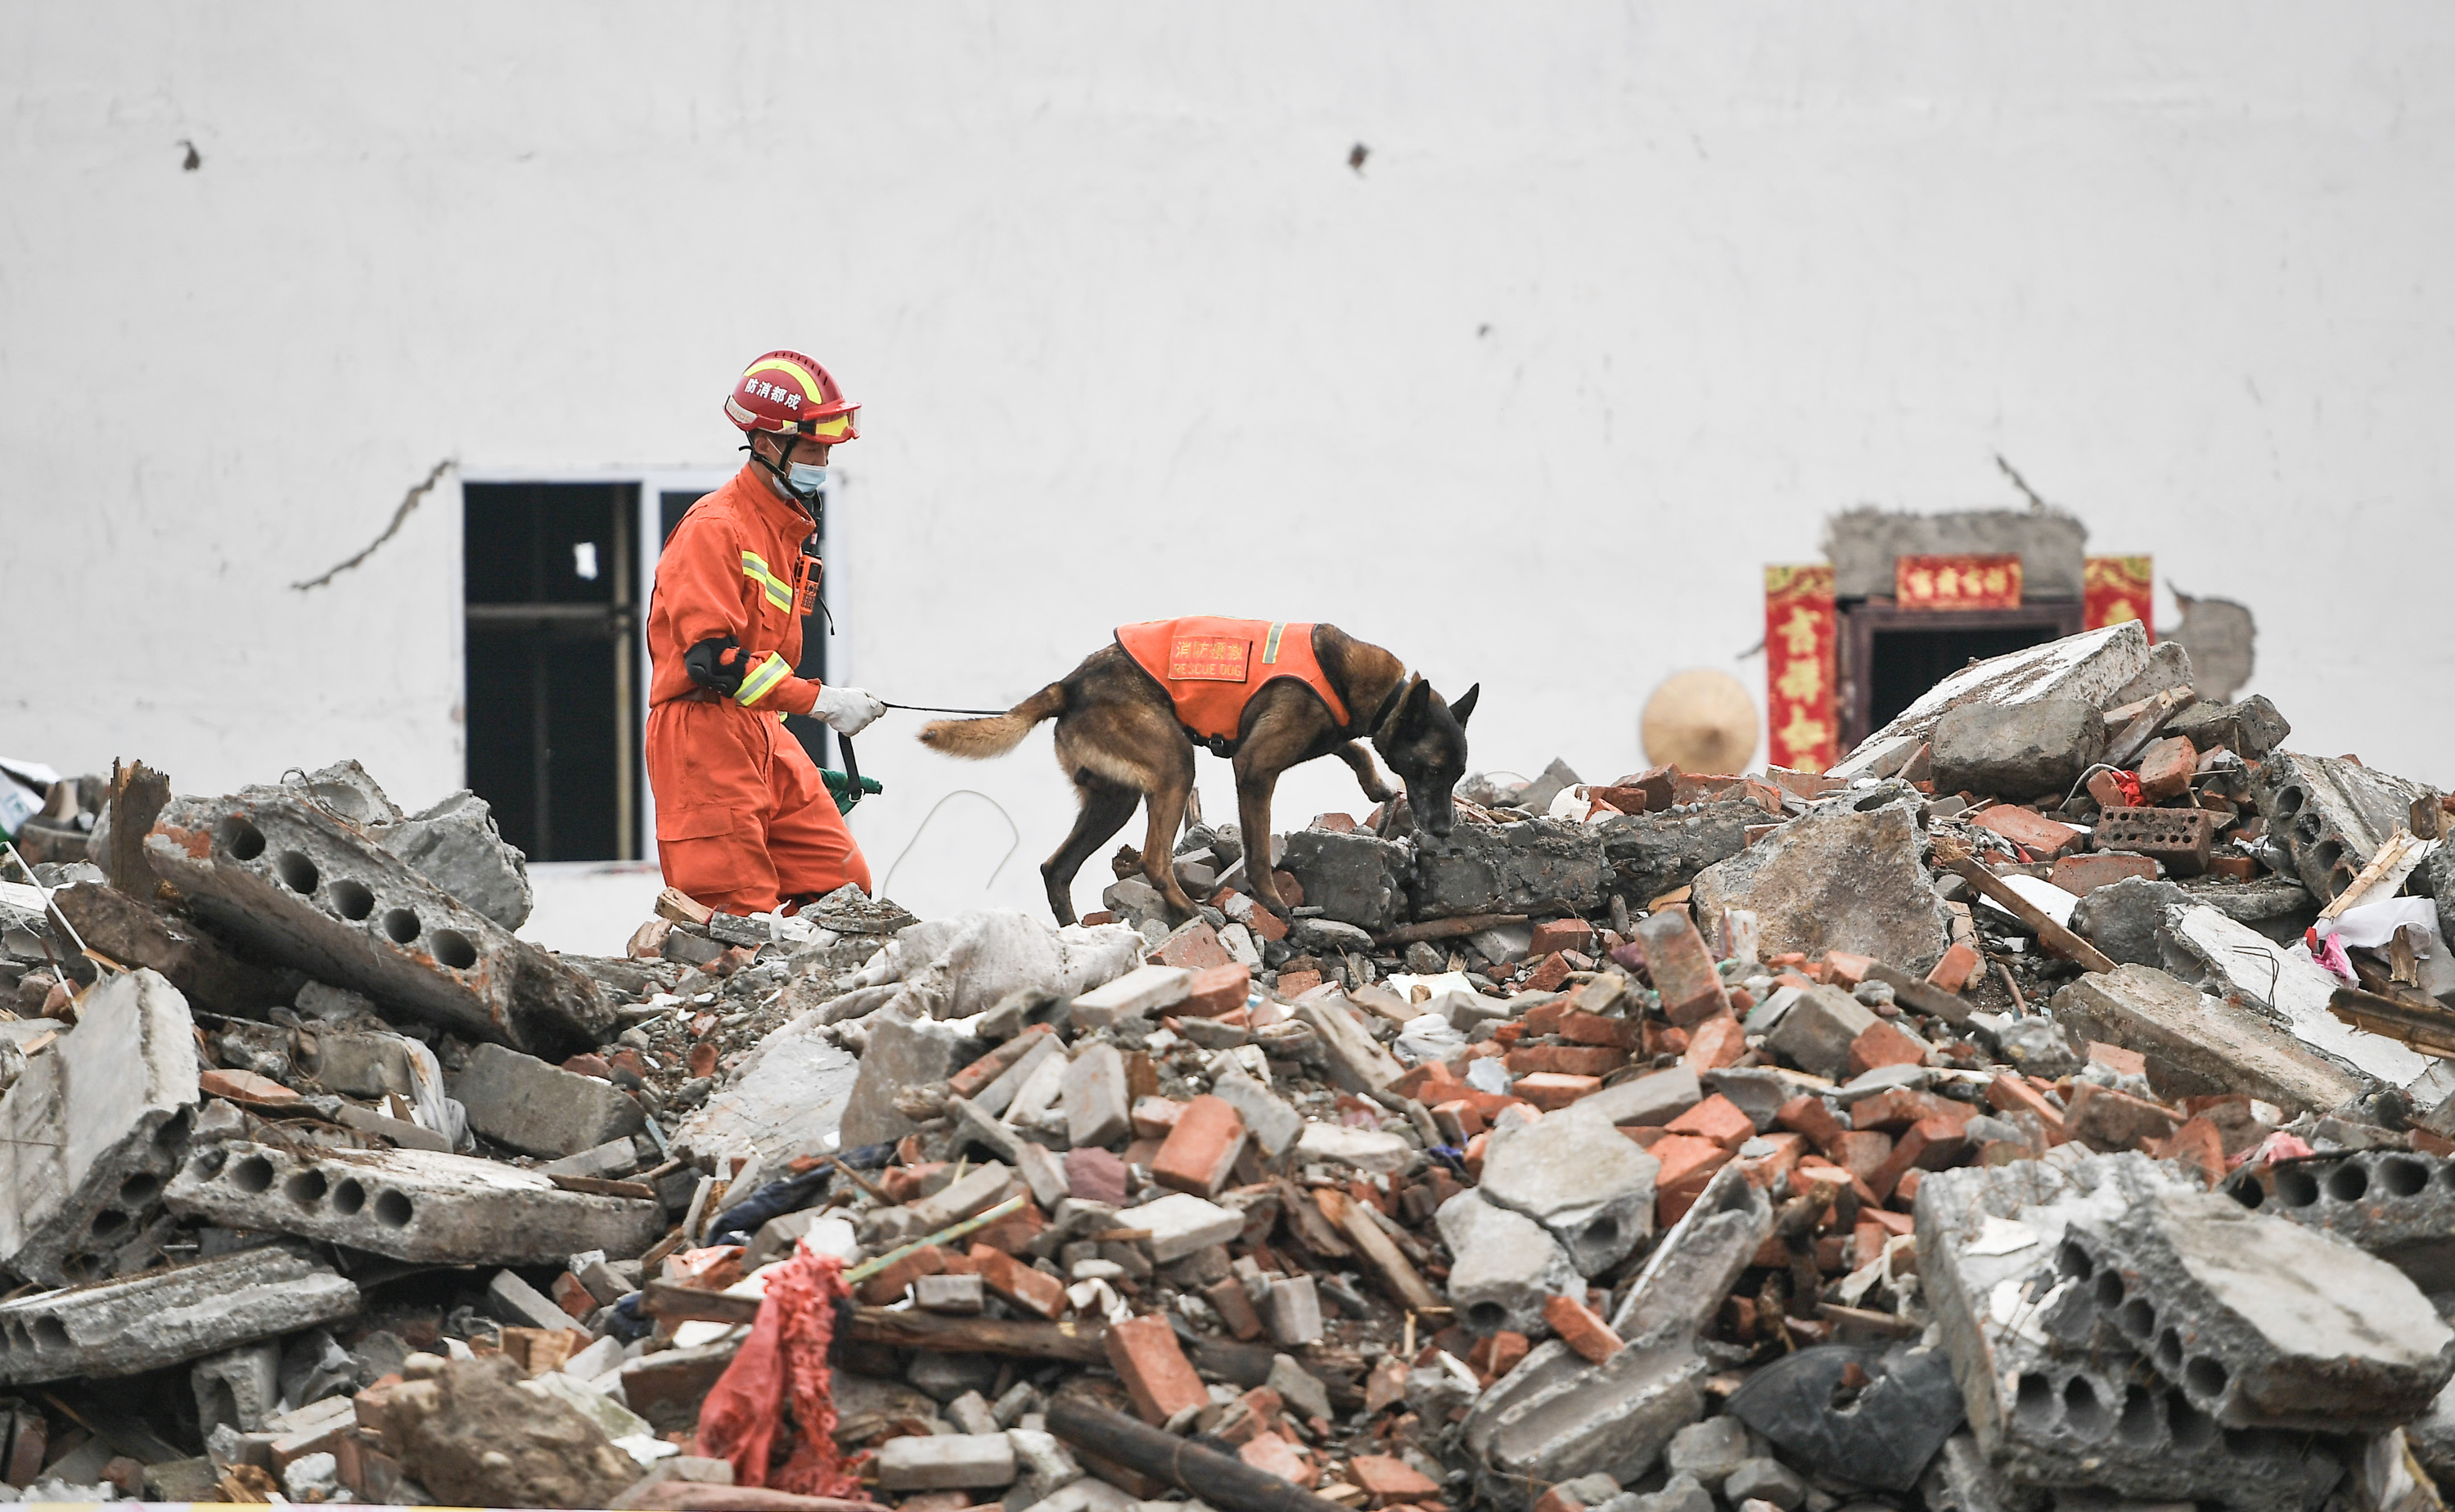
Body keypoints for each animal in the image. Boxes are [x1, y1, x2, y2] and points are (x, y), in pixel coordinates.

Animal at [923, 621, 1473, 928]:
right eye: (1433, 770)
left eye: (1457, 773)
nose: (1445, 831)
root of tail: (1069, 685)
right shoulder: (1254, 769)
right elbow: (1258, 854)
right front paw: (1274, 906)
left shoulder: (1323, 736)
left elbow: (1354, 747)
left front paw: (1377, 784)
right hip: (1174, 768)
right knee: (1152, 859)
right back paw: (1189, 911)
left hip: (1113, 801)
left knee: (1056, 868)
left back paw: (1074, 931)